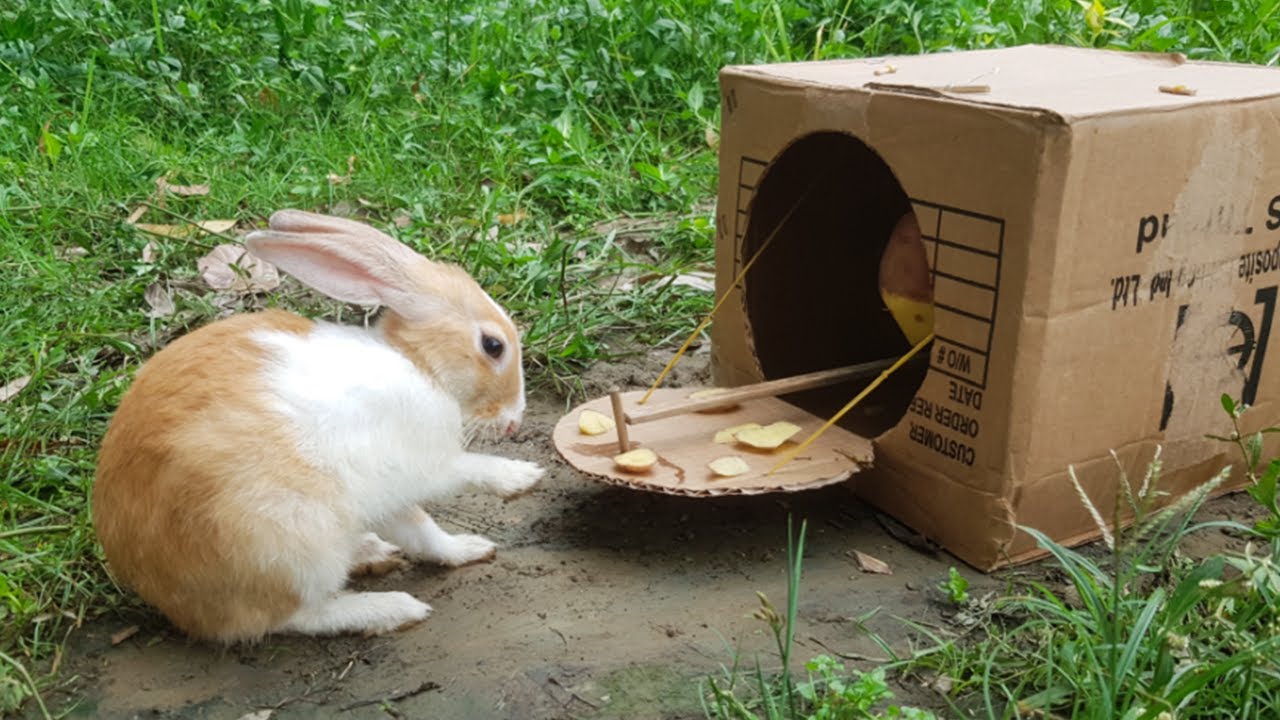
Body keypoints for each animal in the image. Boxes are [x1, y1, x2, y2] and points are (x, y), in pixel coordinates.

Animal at [91, 209, 545, 644]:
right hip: (294, 546)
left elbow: (424, 535)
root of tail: (166, 598)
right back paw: (392, 609)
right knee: (295, 618)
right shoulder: (426, 465)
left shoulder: (389, 495)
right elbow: (467, 472)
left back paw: (371, 552)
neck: (422, 367)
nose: (514, 420)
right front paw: (522, 477)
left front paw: (469, 549)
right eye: (493, 346)